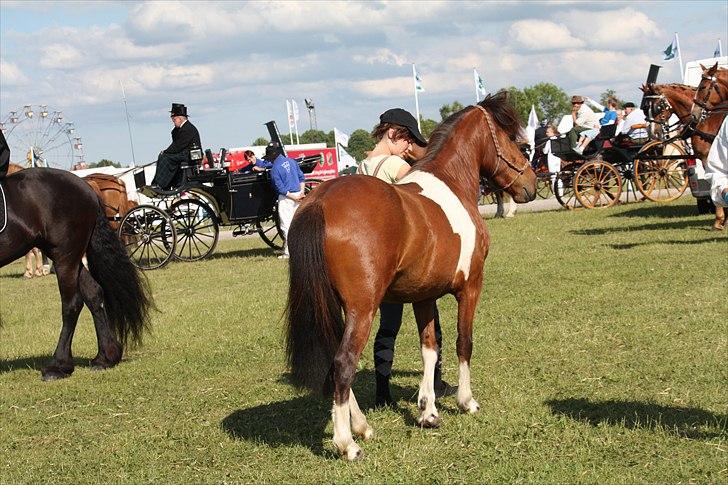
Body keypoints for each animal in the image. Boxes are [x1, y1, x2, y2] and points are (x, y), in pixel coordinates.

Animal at [1, 168, 152, 380]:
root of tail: (85, 187)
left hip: (65, 256)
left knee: (72, 304)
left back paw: (59, 365)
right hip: (68, 256)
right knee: (94, 293)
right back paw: (106, 357)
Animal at [286, 92, 540, 460]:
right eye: (516, 141)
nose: (531, 185)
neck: (451, 184)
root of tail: (319, 200)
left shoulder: (424, 295)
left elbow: (429, 348)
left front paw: (428, 412)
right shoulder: (470, 287)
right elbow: (464, 342)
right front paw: (466, 402)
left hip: (337, 307)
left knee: (337, 366)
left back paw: (362, 427)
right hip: (363, 309)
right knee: (344, 362)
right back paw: (347, 443)